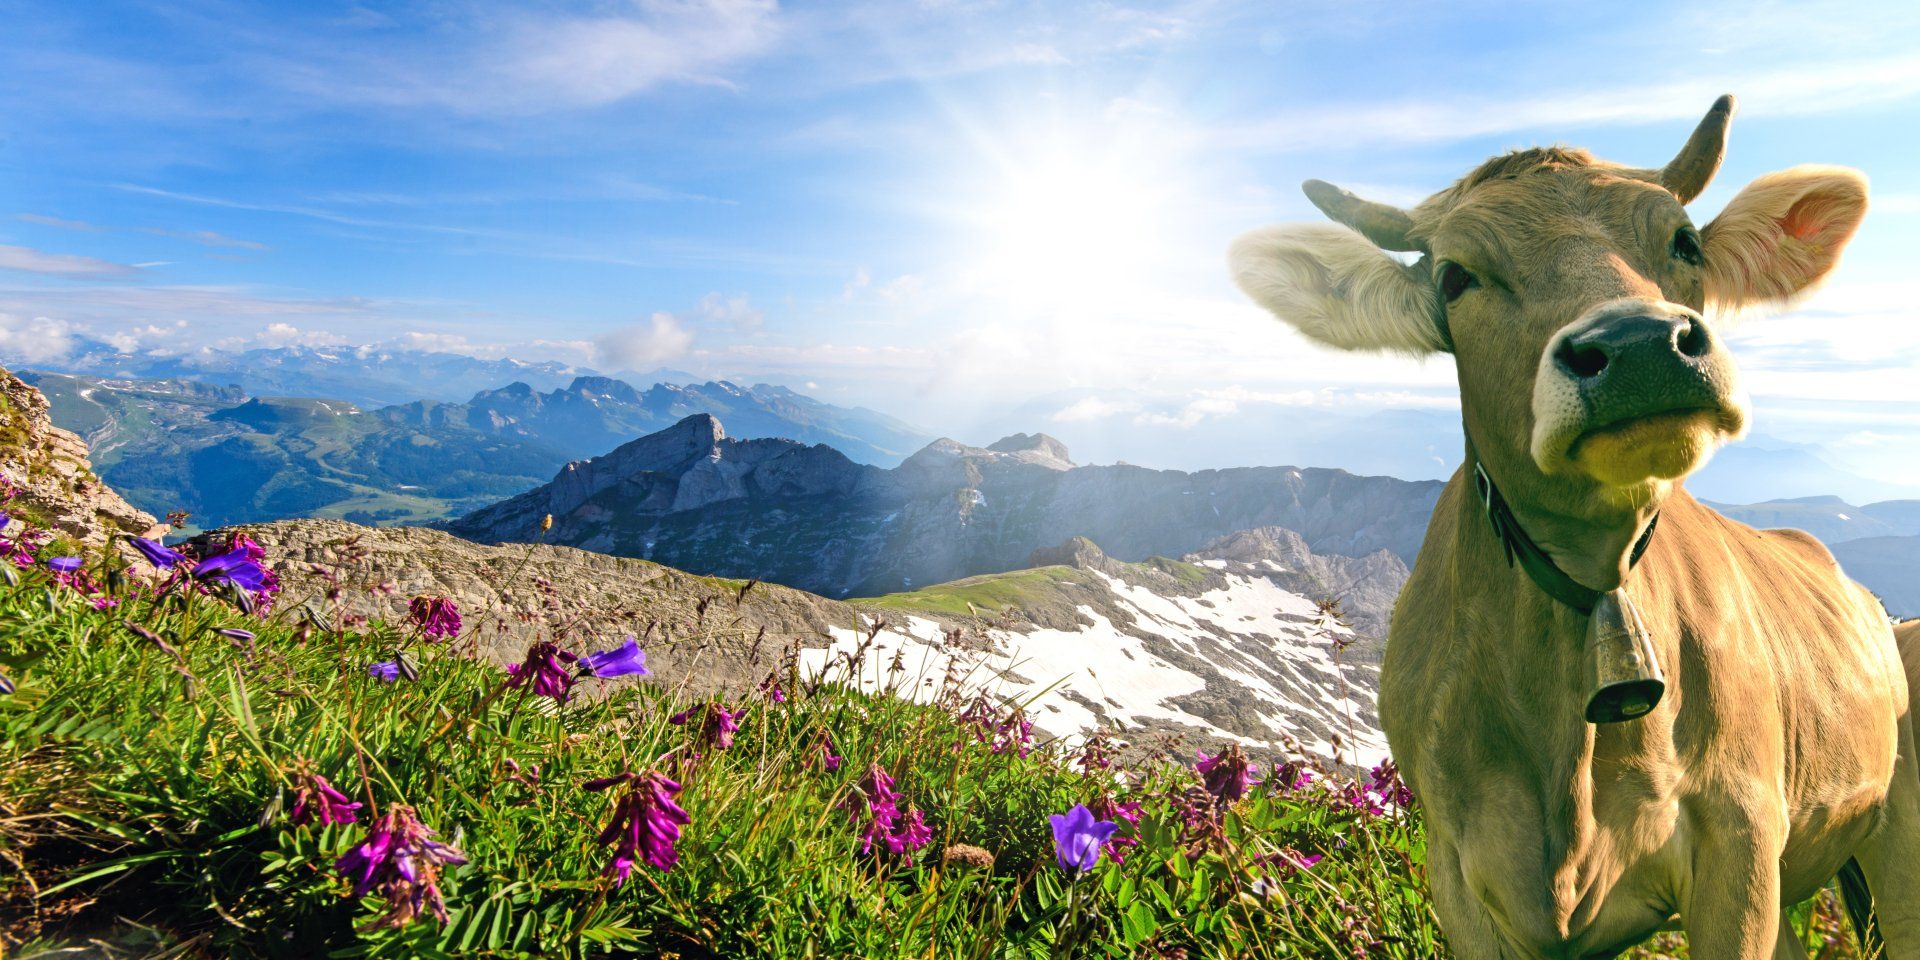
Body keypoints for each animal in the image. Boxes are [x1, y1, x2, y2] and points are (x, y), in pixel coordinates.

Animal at [1228, 96, 1920, 959]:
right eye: (1455, 277)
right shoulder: (1458, 875)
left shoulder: (1740, 843)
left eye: (1685, 241)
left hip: (1894, 849)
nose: (1640, 347)